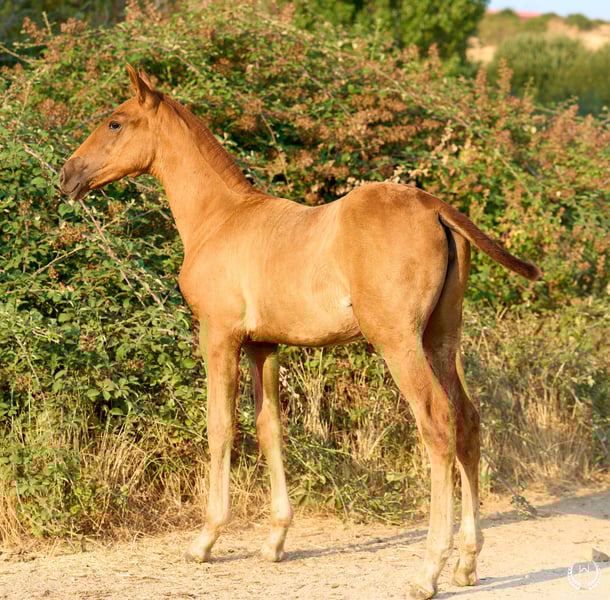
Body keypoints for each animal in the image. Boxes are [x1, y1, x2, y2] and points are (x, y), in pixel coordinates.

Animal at [59, 65, 541, 599]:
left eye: (115, 123)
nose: (67, 176)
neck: (219, 219)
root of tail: (434, 207)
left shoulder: (219, 337)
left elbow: (220, 426)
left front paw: (205, 539)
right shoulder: (264, 346)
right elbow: (269, 427)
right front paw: (274, 540)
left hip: (398, 341)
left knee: (437, 423)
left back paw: (428, 571)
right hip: (441, 339)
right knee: (469, 422)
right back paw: (467, 563)